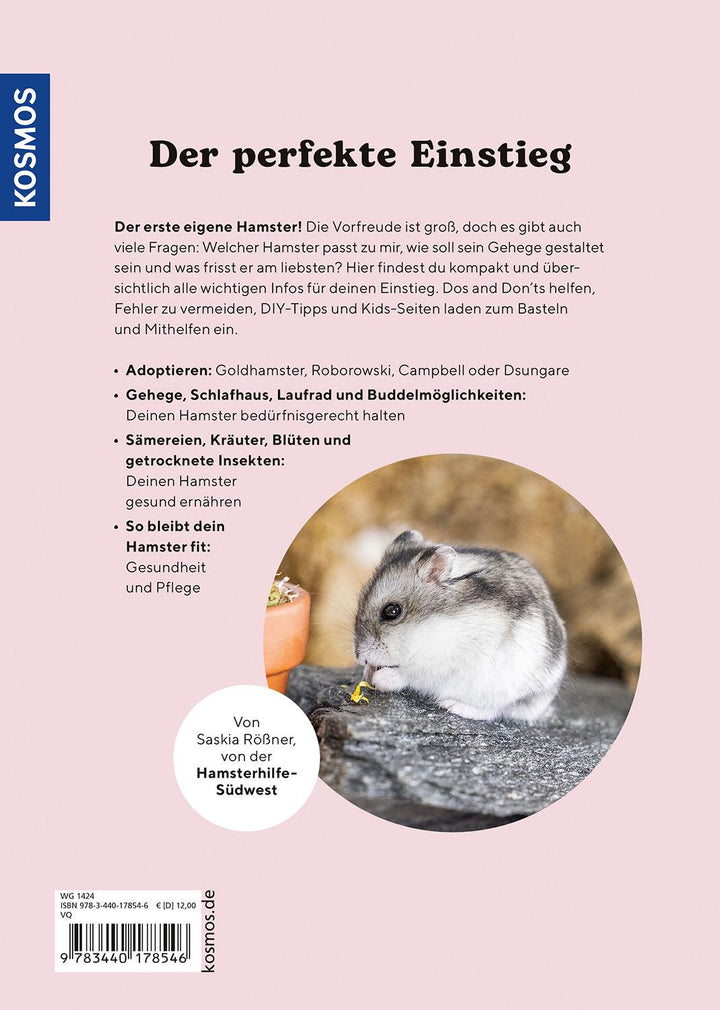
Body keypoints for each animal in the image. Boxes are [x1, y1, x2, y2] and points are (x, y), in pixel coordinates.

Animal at [353, 530, 567, 722]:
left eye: (392, 611)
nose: (360, 658)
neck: (430, 628)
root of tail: (545, 700)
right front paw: (368, 673)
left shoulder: (440, 663)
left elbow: (410, 673)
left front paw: (378, 679)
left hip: (501, 688)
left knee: (492, 711)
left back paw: (451, 706)